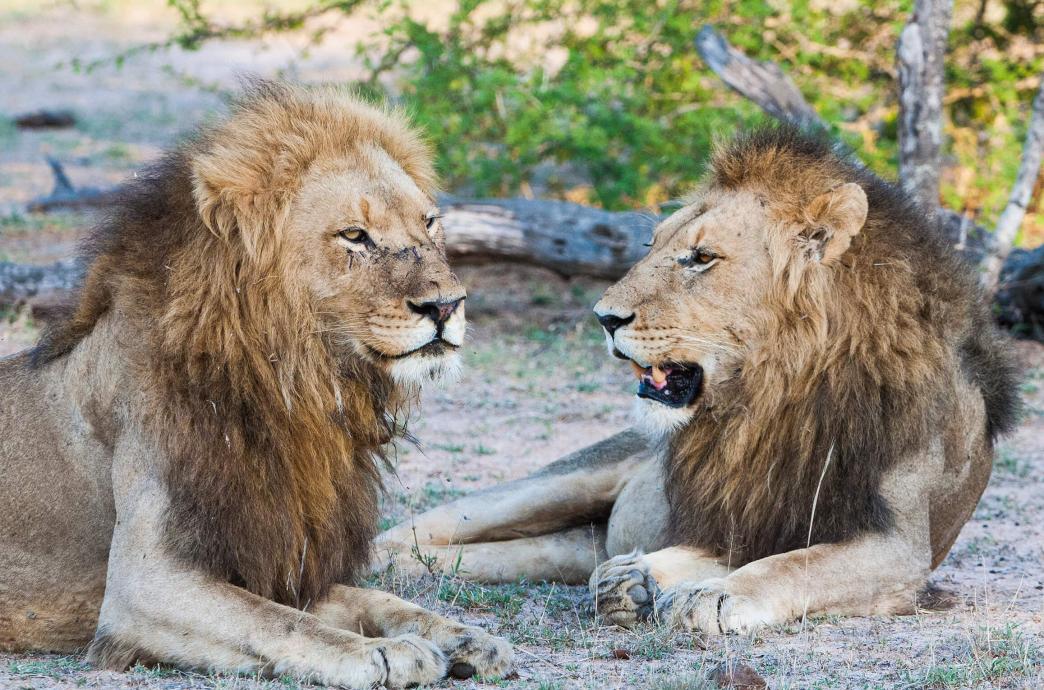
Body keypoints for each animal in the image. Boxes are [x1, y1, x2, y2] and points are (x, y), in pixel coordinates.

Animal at [0, 81, 512, 688]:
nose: (447, 305)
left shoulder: (282, 558)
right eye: (355, 235)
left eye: (429, 223)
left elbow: (372, 599)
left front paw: (466, 636)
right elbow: (280, 622)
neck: (300, 386)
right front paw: (386, 654)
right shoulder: (142, 584)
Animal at [374, 125, 1020, 634]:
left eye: (702, 258)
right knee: (407, 534)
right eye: (650, 244)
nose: (604, 317)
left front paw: (697, 592)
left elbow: (791, 563)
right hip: (558, 483)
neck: (775, 392)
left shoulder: (900, 546)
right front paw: (649, 583)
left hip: (570, 541)